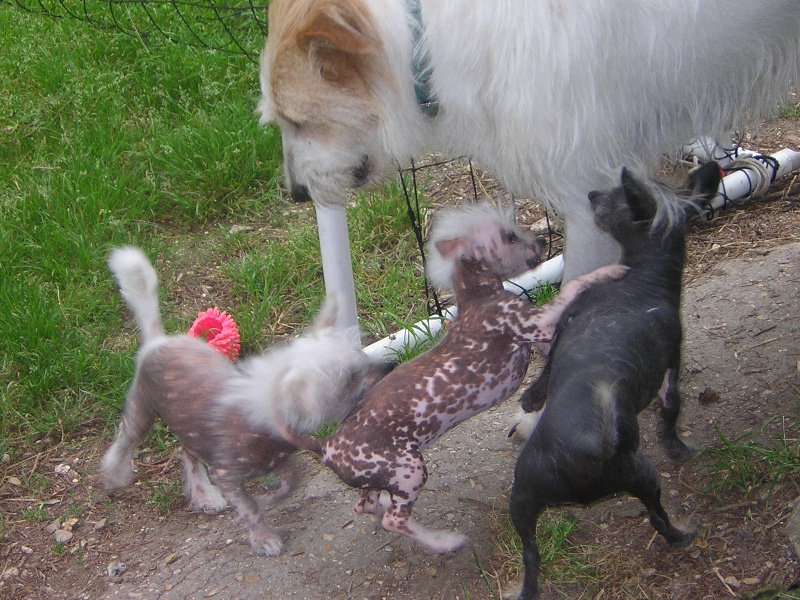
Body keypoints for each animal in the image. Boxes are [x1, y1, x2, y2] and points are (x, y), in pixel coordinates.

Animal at [100, 247, 391, 556]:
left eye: (362, 357)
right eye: (350, 379)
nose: (390, 366)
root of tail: (158, 340)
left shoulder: (275, 459)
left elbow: (290, 479)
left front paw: (274, 495)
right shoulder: (226, 475)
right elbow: (250, 507)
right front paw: (263, 538)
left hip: (188, 428)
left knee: (186, 453)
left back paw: (204, 495)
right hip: (141, 408)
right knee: (126, 439)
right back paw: (115, 473)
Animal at [280, 203, 627, 553]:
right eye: (510, 236)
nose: (543, 242)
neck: (477, 295)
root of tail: (326, 445)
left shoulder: (540, 336)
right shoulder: (535, 322)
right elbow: (572, 285)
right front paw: (608, 271)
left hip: (379, 478)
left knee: (366, 504)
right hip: (409, 471)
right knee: (393, 520)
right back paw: (443, 542)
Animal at [507, 164, 722, 599]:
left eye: (612, 198)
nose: (591, 194)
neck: (648, 282)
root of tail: (588, 452)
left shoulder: (570, 319)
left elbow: (547, 367)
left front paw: (531, 399)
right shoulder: (672, 357)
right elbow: (672, 405)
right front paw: (675, 445)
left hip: (526, 492)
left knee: (535, 555)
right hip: (615, 483)